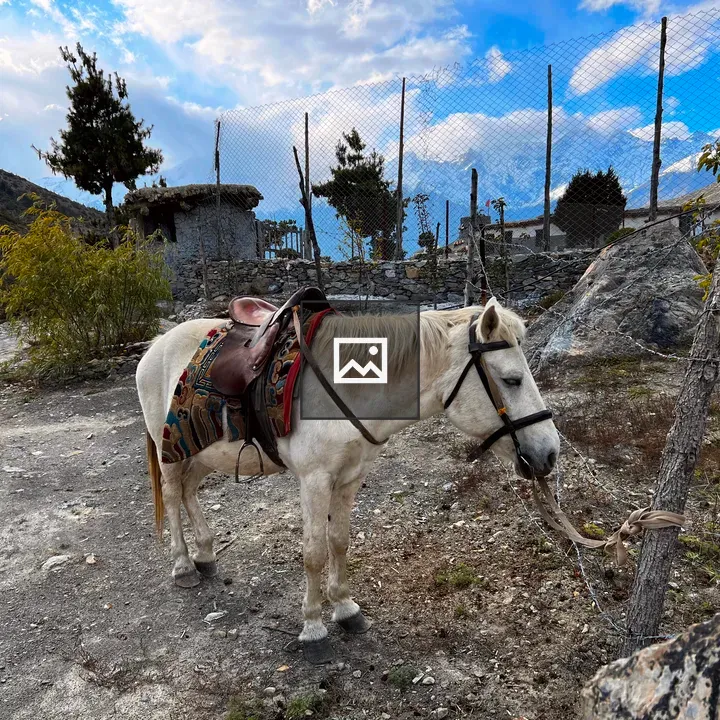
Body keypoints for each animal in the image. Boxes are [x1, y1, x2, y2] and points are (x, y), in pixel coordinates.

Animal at [136, 298, 559, 663]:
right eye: (512, 379)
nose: (550, 452)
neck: (349, 387)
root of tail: (155, 346)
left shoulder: (350, 477)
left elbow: (338, 542)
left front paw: (345, 609)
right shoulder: (314, 481)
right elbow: (314, 553)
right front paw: (313, 629)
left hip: (202, 452)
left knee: (189, 491)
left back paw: (205, 555)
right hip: (169, 450)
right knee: (172, 495)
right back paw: (183, 566)